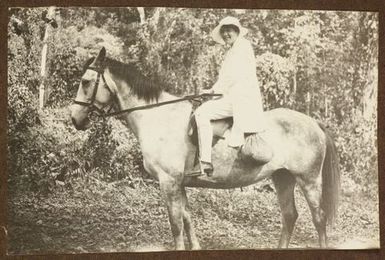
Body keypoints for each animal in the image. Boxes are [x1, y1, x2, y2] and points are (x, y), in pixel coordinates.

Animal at [70, 47, 340, 251]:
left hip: (308, 180)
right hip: (283, 177)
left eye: (85, 82)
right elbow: (187, 219)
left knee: (318, 218)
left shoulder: (169, 182)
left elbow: (176, 225)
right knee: (289, 216)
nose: (75, 119)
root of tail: (314, 122)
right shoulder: (179, 183)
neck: (159, 117)